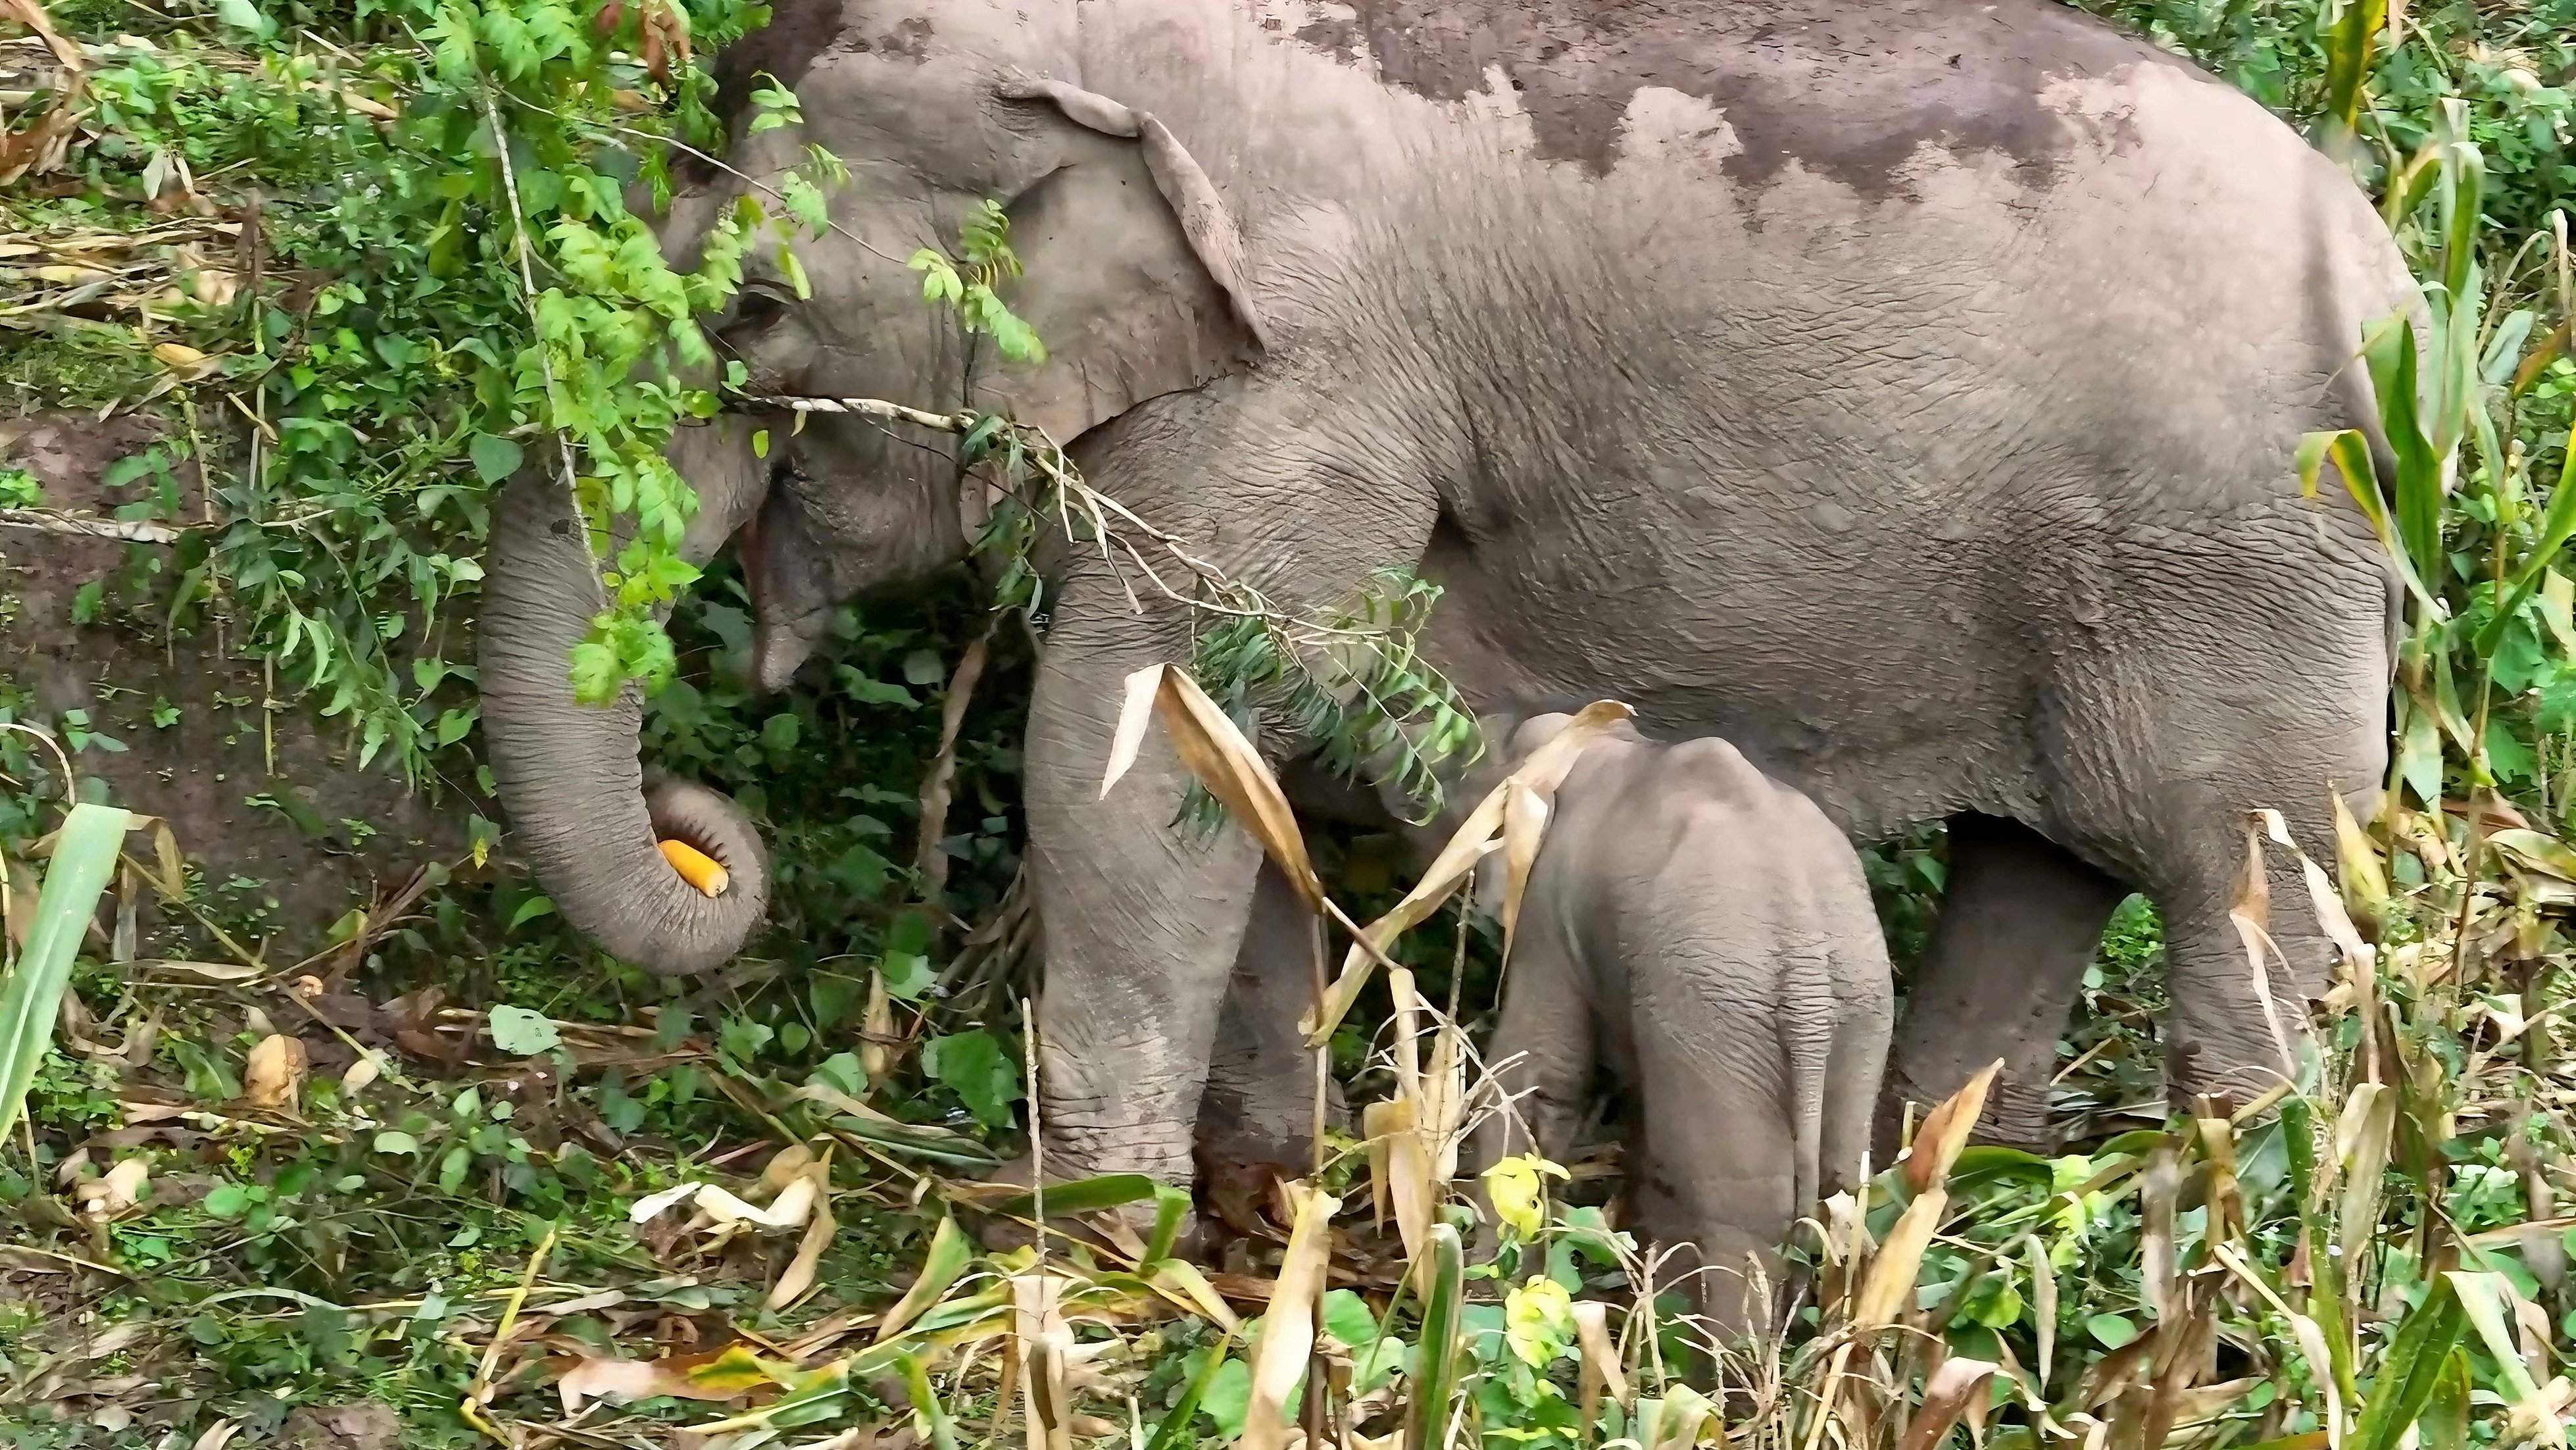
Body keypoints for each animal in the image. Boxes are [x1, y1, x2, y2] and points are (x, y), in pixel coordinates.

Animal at [479, 0, 2411, 1184]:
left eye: (754, 310)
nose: (696, 828)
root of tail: (2408, 297)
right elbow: (1236, 757)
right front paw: (1258, 1183)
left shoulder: (1302, 375)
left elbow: (1127, 742)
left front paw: (1087, 1241)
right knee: (2033, 873)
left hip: (2242, 565)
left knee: (2242, 907)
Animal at [1463, 716, 1906, 1339]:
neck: (1602, 739)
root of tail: (1806, 960)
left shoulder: (1549, 909)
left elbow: (1538, 1074)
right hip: (1856, 1005)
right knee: (1838, 1189)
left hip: (1717, 1008)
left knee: (1738, 1212)